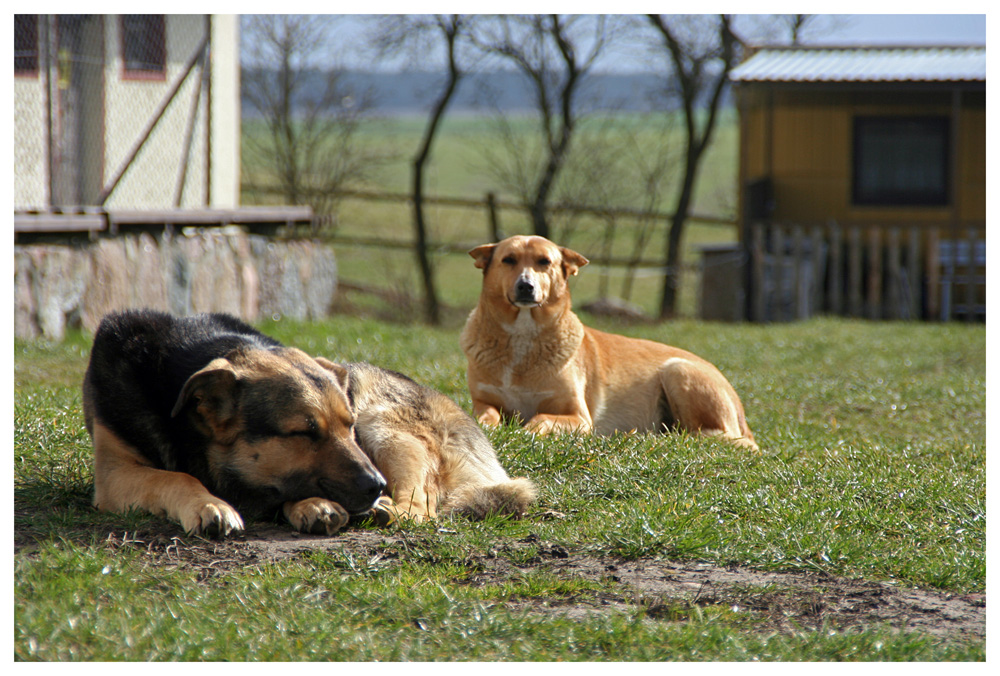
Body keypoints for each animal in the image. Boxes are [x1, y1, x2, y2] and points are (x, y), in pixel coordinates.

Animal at [85, 308, 536, 536]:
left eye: (347, 427)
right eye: (304, 432)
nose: (375, 486)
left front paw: (311, 505)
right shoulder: (115, 472)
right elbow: (176, 477)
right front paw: (210, 504)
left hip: (383, 425)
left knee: (420, 508)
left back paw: (384, 509)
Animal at [460, 235, 756, 452]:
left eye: (544, 261)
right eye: (508, 260)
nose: (526, 286)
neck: (522, 335)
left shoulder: (579, 417)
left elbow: (541, 418)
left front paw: (526, 432)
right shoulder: (483, 401)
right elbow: (485, 416)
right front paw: (490, 428)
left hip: (678, 371)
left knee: (714, 437)